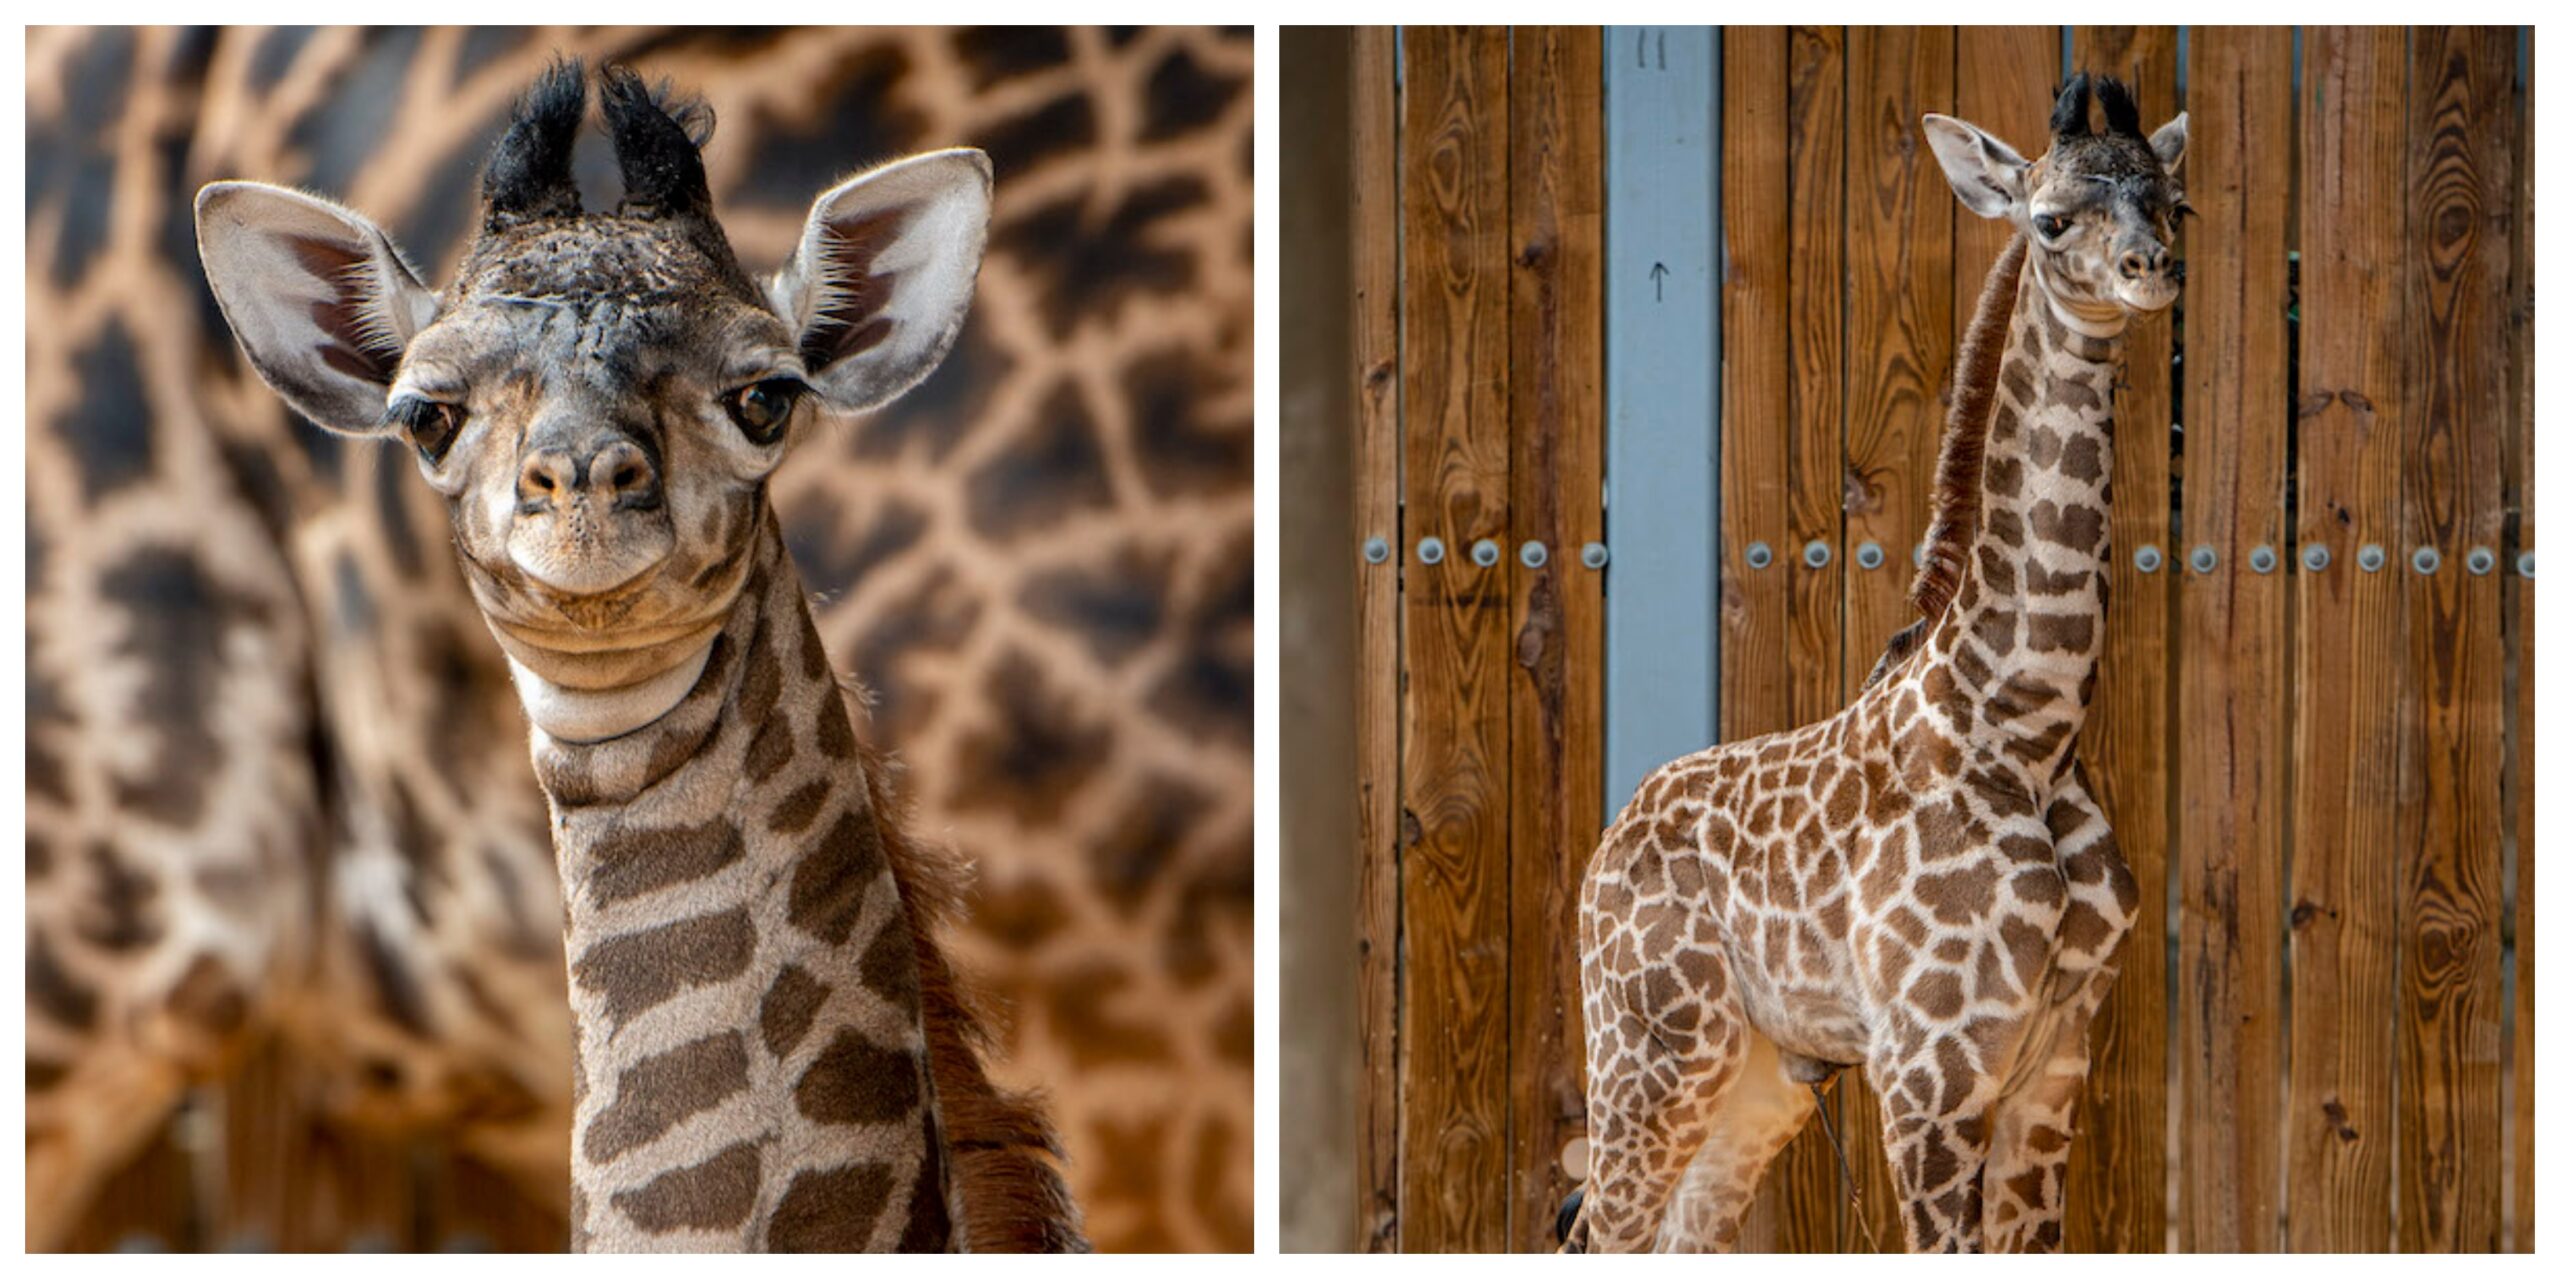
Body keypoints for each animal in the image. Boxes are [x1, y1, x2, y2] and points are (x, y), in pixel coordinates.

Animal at [1565, 73, 2184, 1253]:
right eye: (2050, 221)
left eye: (2172, 203)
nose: (2152, 271)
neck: (2029, 727)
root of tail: (1608, 836)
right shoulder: (1929, 1067)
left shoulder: (2057, 1059)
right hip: (1655, 1043)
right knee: (1594, 1228)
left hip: (1761, 1074)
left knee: (1683, 1232)